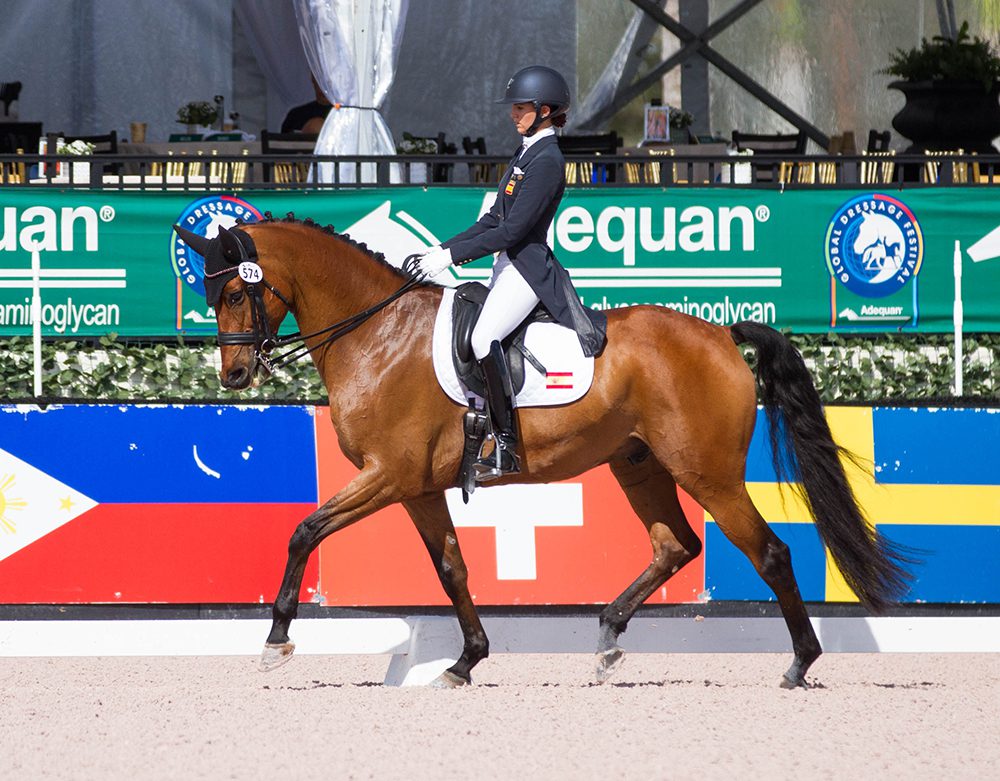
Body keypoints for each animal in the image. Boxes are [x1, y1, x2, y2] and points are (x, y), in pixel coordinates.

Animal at [174, 215, 911, 689]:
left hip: (709, 474)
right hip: (638, 464)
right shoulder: (418, 487)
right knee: (674, 545)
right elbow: (451, 569)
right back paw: (608, 639)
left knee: (770, 552)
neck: (375, 333)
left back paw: (800, 663)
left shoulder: (389, 476)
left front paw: (276, 640)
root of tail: (720, 333)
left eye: (236, 290)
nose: (233, 376)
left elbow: (304, 531)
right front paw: (466, 660)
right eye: (210, 293)